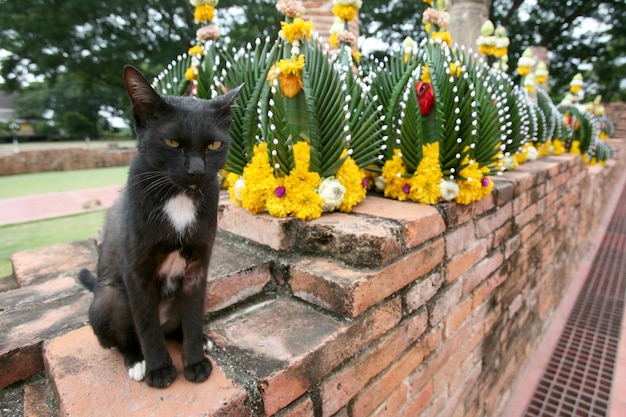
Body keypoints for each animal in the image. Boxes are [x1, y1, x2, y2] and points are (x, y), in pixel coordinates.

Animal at [79, 65, 240, 386]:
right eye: (172, 143)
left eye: (214, 144)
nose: (197, 171)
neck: (179, 198)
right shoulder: (137, 271)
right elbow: (146, 325)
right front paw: (159, 369)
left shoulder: (197, 269)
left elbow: (192, 318)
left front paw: (195, 362)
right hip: (109, 298)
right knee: (127, 336)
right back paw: (136, 360)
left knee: (180, 325)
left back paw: (201, 339)